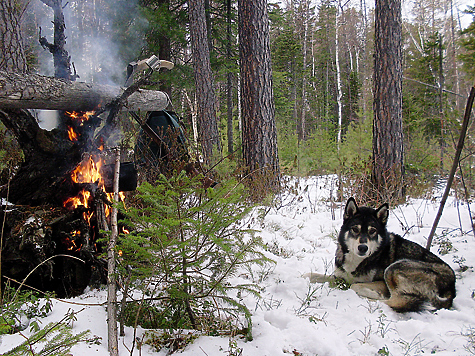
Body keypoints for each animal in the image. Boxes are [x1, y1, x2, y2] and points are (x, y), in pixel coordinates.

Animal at [304, 197, 458, 312]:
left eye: (372, 231)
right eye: (355, 229)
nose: (363, 248)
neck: (358, 261)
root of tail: (452, 287)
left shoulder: (379, 282)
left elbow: (355, 285)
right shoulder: (339, 277)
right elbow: (311, 275)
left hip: (395, 268)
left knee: (395, 300)